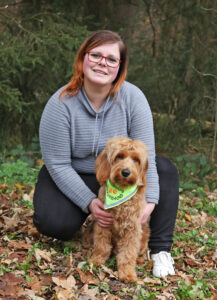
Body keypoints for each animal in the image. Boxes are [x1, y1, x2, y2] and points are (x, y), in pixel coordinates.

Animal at [87, 137, 149, 282]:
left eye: (136, 159)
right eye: (120, 156)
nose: (126, 172)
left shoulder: (132, 230)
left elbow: (128, 253)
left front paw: (127, 273)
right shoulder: (103, 223)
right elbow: (102, 245)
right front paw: (97, 259)